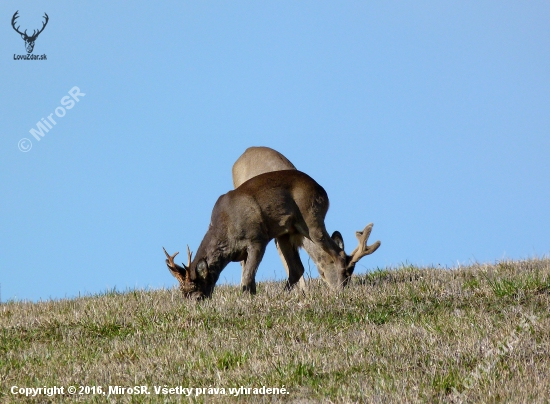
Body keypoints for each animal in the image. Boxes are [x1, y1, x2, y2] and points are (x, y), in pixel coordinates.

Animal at [164, 169, 350, 298]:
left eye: (196, 290)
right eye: (182, 293)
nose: (195, 302)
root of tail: (322, 191)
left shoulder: (257, 240)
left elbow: (247, 278)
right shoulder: (244, 252)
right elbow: (250, 280)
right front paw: (250, 298)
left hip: (311, 221)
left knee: (339, 253)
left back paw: (340, 288)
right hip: (284, 234)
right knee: (297, 269)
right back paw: (282, 295)